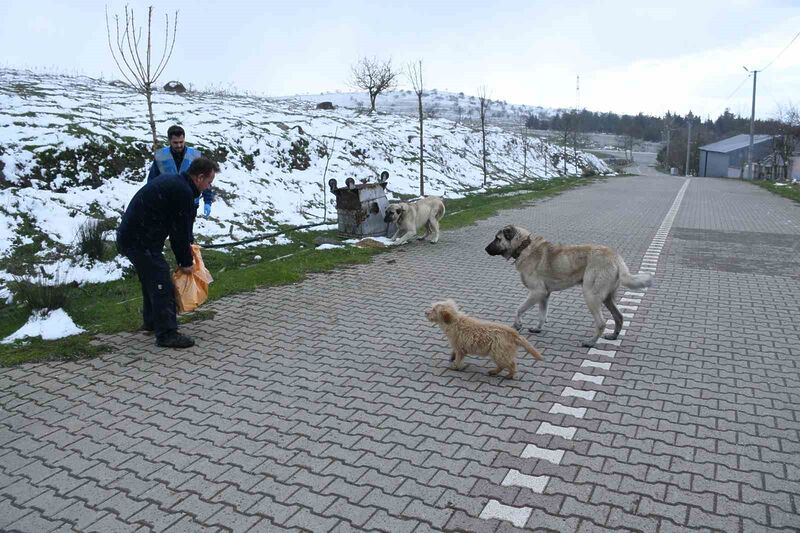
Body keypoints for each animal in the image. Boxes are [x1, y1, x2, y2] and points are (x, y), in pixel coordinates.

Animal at [484, 223, 652, 344]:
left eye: (497, 238)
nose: (485, 249)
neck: (524, 246)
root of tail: (615, 256)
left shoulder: (536, 292)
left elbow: (519, 309)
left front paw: (517, 324)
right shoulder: (544, 295)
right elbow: (542, 315)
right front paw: (538, 328)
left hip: (591, 295)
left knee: (601, 322)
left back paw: (591, 342)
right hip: (607, 298)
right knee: (619, 317)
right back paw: (613, 336)